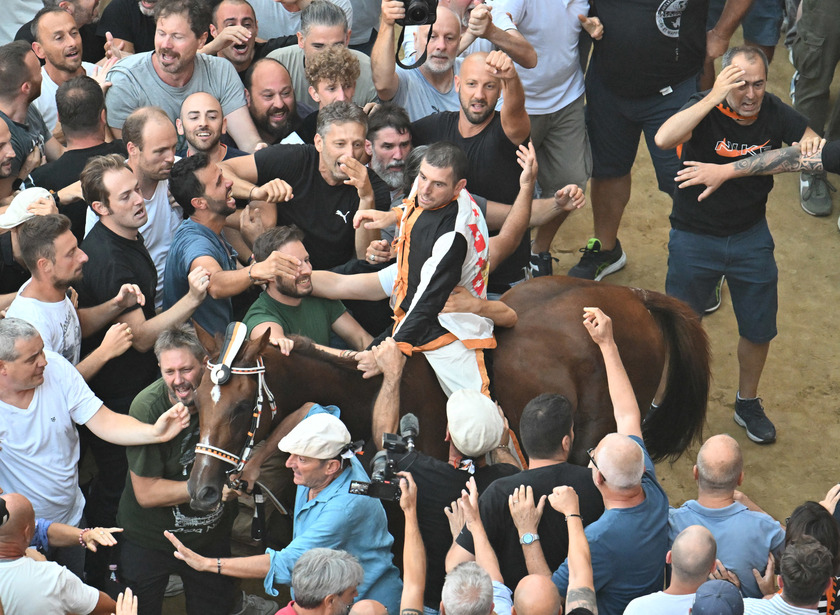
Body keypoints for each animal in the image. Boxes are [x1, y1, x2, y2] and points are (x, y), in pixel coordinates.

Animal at [185, 276, 708, 512]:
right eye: (195, 403)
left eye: (240, 408)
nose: (200, 488)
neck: (370, 395)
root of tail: (635, 296)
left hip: (597, 434)